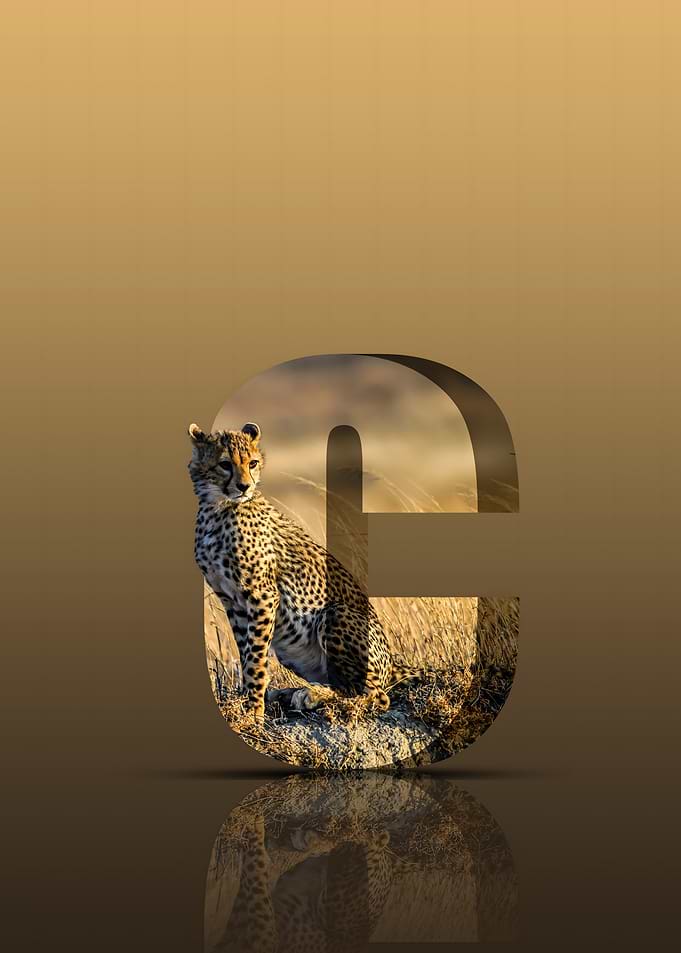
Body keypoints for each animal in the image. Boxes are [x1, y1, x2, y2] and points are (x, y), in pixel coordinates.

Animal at [188, 421, 419, 723]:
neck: (217, 507)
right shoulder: (231, 601)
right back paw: (291, 693)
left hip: (335, 614)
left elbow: (256, 659)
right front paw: (250, 700)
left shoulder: (263, 595)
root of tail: (392, 663)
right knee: (347, 685)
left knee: (376, 695)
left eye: (252, 463)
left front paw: (254, 710)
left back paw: (312, 696)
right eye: (225, 464)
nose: (244, 486)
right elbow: (246, 651)